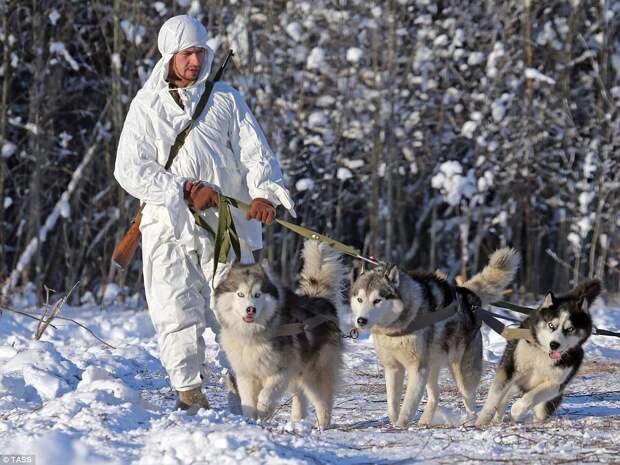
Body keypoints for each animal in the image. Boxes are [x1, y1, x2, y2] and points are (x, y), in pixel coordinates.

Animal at [214, 241, 346, 426]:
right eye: (240, 294)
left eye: (257, 294)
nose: (250, 309)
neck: (254, 335)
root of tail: (320, 299)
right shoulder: (246, 374)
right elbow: (248, 401)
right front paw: (250, 420)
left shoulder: (282, 371)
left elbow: (266, 394)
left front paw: (263, 412)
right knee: (300, 394)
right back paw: (297, 420)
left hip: (316, 372)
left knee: (323, 401)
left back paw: (322, 426)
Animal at [352, 248, 520, 426]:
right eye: (360, 299)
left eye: (377, 300)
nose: (361, 320)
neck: (399, 324)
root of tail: (469, 296)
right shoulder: (393, 368)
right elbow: (392, 405)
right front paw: (394, 422)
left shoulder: (417, 369)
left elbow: (408, 404)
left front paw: (400, 425)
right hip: (432, 367)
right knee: (436, 395)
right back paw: (425, 420)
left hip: (462, 372)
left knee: (469, 399)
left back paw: (470, 421)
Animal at [474, 278, 600, 426]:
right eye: (551, 325)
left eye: (570, 329)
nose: (554, 345)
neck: (543, 353)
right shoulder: (510, 369)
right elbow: (494, 397)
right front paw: (482, 419)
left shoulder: (556, 383)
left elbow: (530, 397)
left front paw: (517, 410)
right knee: (505, 396)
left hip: (543, 401)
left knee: (538, 410)